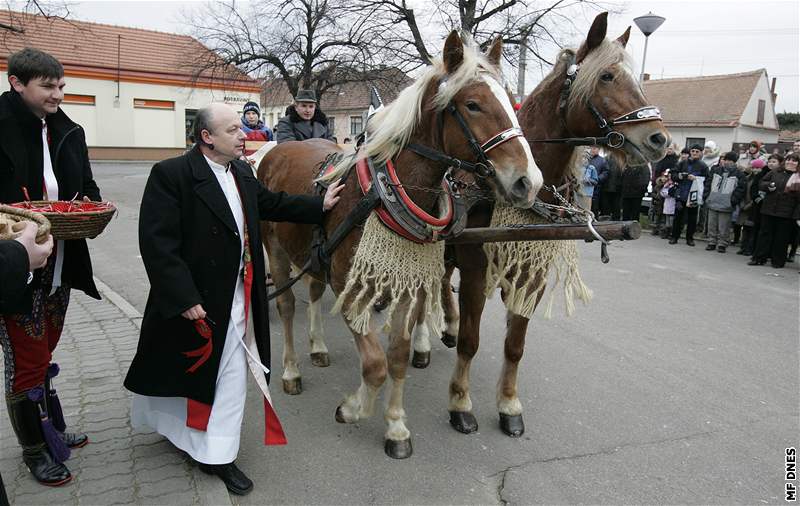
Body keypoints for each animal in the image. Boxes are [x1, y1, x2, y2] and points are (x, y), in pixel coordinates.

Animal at [260, 31, 544, 458]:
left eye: (511, 100)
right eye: (473, 105)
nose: (529, 181)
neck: (382, 194)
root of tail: (275, 151)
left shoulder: (407, 289)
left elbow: (395, 358)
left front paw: (395, 426)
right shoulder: (351, 288)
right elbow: (374, 365)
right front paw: (352, 409)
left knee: (311, 293)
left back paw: (318, 347)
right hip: (273, 249)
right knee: (288, 306)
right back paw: (292, 368)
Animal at [438, 11, 676, 438]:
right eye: (607, 77)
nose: (659, 138)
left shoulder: (532, 273)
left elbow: (515, 344)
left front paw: (509, 404)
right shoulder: (477, 268)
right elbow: (471, 341)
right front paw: (460, 403)